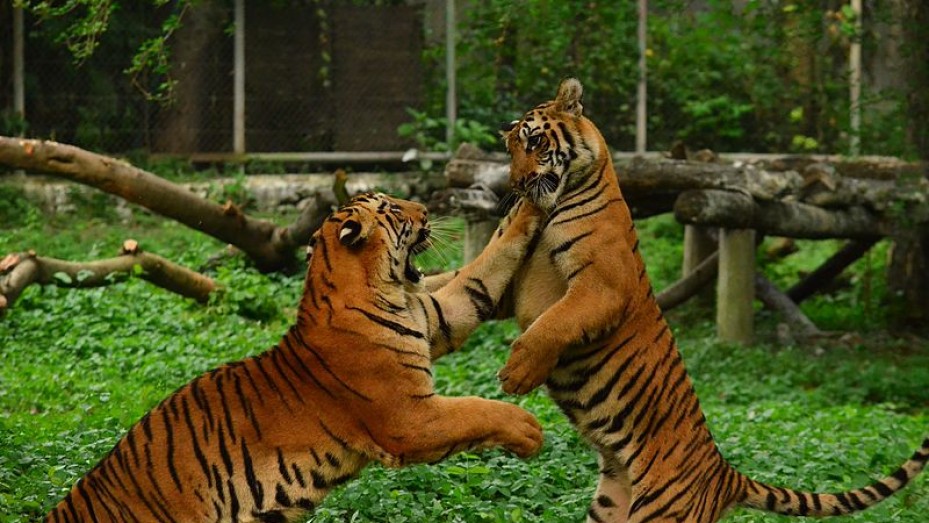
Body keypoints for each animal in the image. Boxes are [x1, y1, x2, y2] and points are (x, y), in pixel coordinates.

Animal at [44, 192, 545, 523]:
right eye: (394, 210)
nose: (425, 211)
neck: (385, 292)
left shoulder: (437, 315)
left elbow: (482, 271)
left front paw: (530, 207)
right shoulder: (409, 419)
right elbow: (475, 411)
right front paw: (529, 430)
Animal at [445, 78, 929, 522]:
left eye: (536, 141)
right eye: (510, 149)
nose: (516, 184)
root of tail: (723, 473)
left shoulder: (601, 287)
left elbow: (554, 323)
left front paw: (517, 374)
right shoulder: (515, 291)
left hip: (660, 512)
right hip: (610, 507)